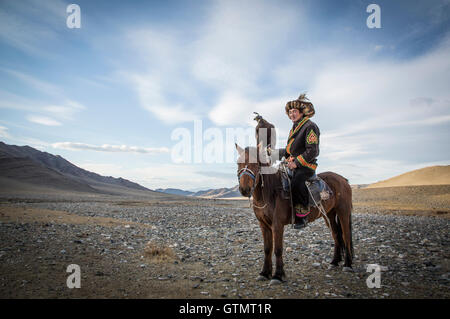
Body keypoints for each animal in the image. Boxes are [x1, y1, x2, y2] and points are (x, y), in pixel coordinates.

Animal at [234, 144, 354, 284]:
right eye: (238, 162)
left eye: (256, 164)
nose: (244, 189)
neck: (270, 193)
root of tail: (343, 179)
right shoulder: (263, 225)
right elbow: (267, 249)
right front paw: (264, 273)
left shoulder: (277, 224)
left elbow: (278, 249)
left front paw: (277, 275)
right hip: (329, 214)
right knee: (336, 235)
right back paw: (334, 262)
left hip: (343, 212)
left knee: (346, 236)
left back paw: (348, 264)